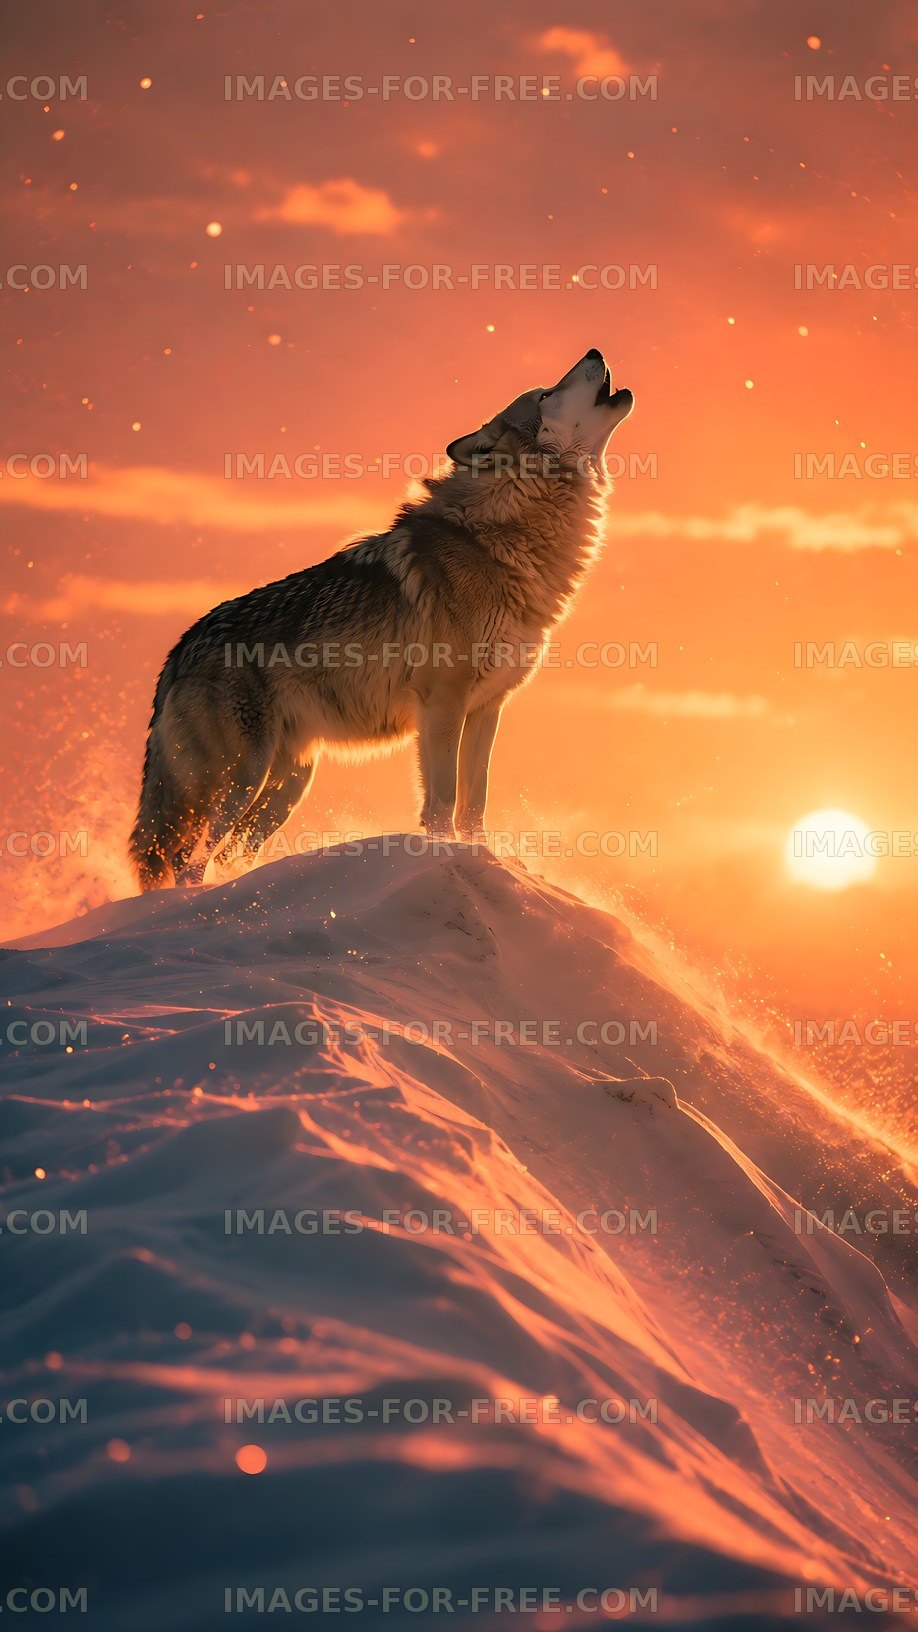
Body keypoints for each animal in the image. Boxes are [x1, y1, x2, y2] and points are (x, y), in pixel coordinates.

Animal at [130, 349, 633, 888]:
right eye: (544, 395)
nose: (595, 352)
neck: (501, 538)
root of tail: (180, 649)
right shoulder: (442, 705)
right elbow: (442, 802)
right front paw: (446, 863)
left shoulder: (487, 708)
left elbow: (474, 804)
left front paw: (487, 862)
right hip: (243, 778)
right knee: (188, 862)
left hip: (287, 788)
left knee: (225, 857)